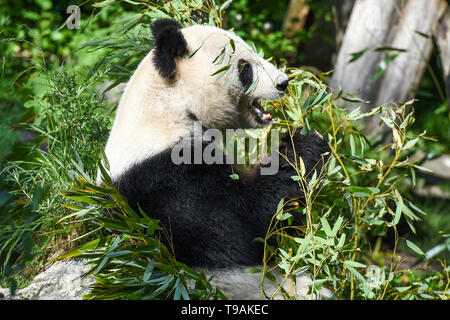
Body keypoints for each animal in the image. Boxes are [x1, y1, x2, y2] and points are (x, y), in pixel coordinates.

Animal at [101, 19, 330, 300]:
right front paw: (304, 142)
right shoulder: (167, 181)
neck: (169, 105)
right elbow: (250, 223)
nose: (283, 83)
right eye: (245, 67)